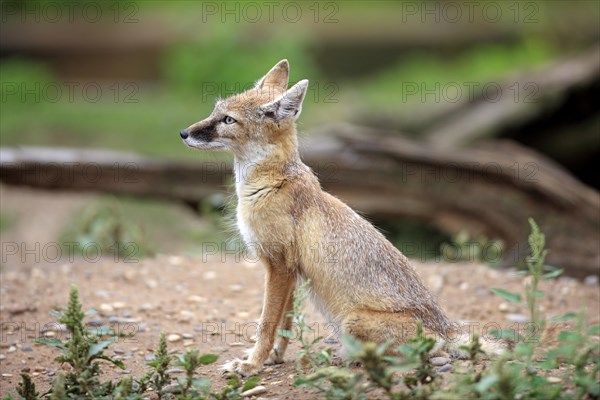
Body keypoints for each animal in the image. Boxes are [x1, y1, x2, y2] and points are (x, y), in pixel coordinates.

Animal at [178, 58, 502, 376]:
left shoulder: (279, 266)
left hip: (352, 320)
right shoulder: (290, 271)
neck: (272, 183)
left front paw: (251, 364)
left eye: (227, 120)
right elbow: (285, 324)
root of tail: (447, 329)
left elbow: (267, 324)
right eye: (215, 111)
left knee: (425, 356)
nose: (183, 133)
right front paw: (274, 358)